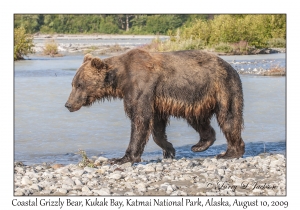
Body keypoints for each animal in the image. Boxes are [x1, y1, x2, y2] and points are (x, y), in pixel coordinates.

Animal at [65, 48, 244, 164]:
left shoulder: (142, 87)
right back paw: (200, 145)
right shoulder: (156, 101)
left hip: (223, 86)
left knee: (228, 117)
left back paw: (230, 153)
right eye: (73, 84)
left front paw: (123, 158)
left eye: (79, 84)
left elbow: (140, 120)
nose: (68, 104)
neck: (121, 79)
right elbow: (157, 127)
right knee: (198, 120)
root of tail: (230, 65)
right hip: (197, 97)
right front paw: (169, 150)